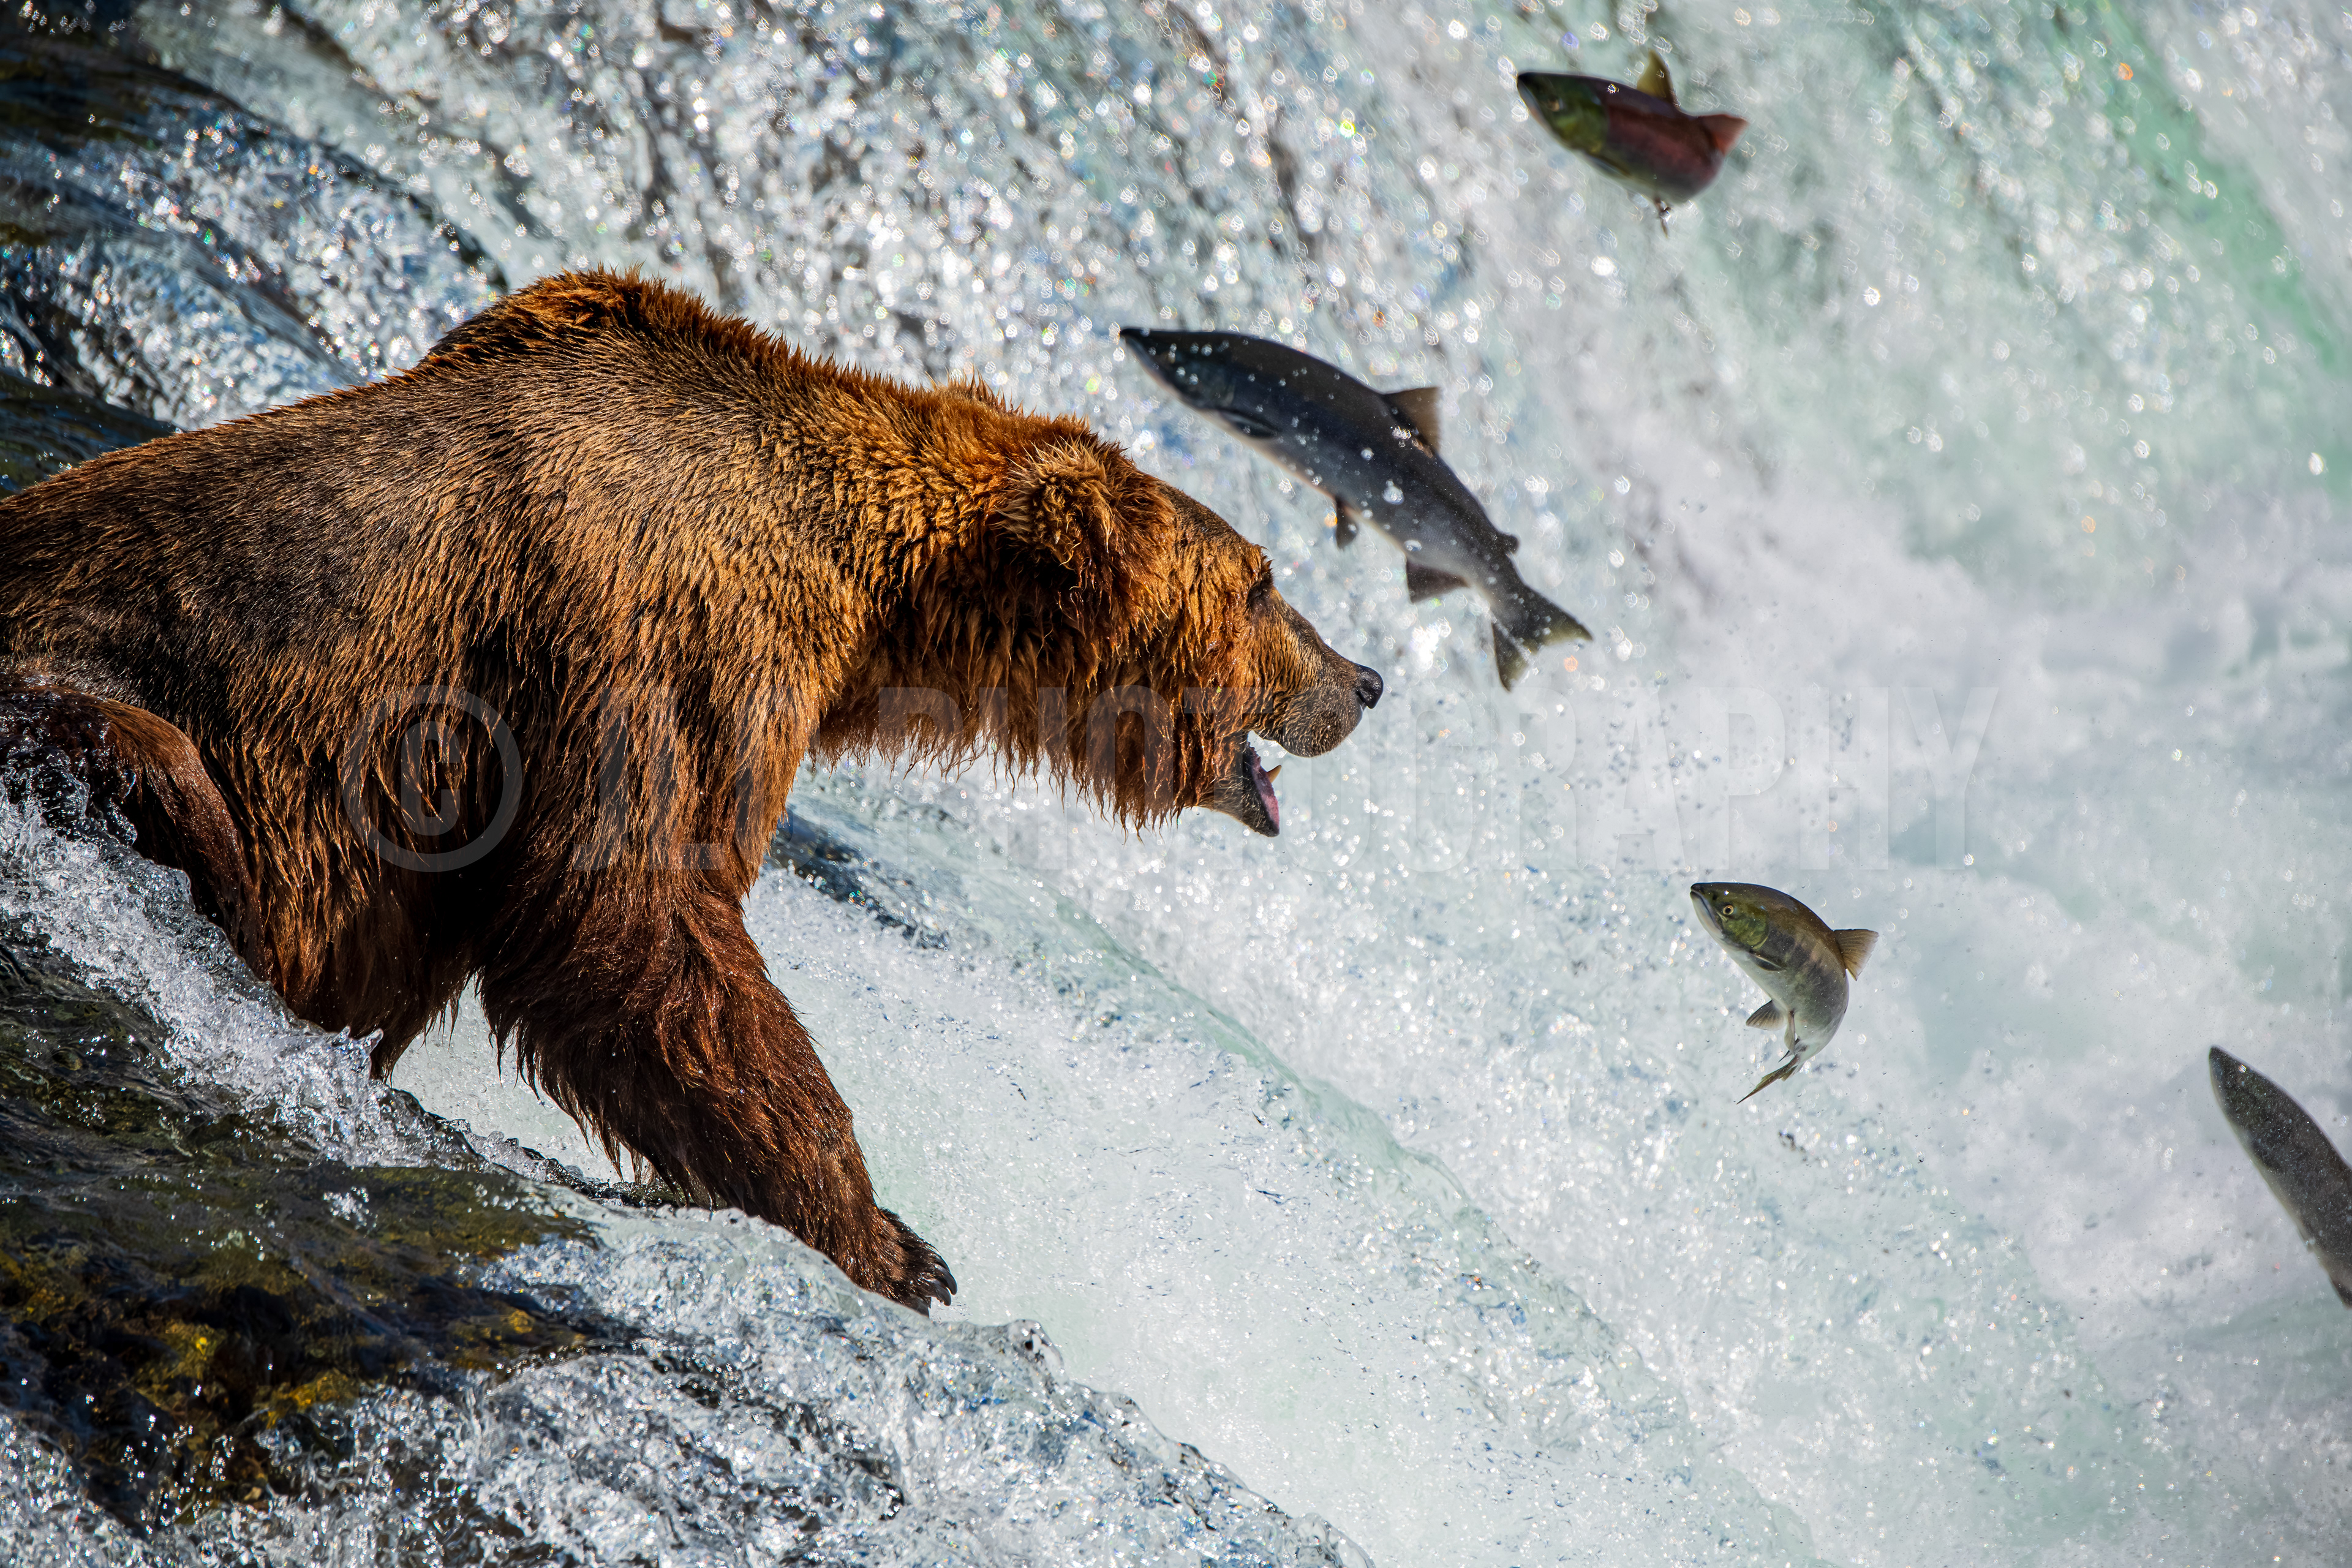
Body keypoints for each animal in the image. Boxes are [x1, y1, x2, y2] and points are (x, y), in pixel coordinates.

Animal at [0, 270, 1383, 1311]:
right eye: (1263, 581)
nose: (1362, 679)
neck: (866, 596)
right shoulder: (650, 646)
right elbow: (637, 925)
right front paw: (893, 1240)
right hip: (111, 697)